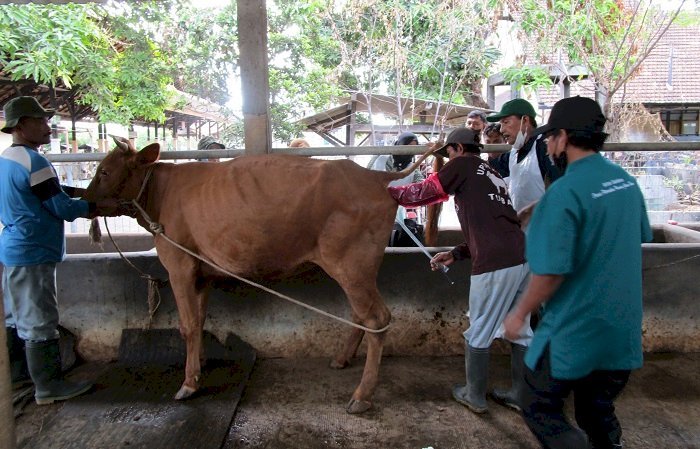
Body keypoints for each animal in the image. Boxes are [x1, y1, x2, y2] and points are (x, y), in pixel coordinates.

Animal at [85, 136, 434, 412]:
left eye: (104, 171)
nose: (82, 200)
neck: (161, 192)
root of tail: (375, 177)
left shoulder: (179, 264)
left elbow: (187, 325)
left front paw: (188, 384)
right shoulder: (201, 272)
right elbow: (200, 320)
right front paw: (199, 365)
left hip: (351, 264)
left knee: (377, 318)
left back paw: (361, 395)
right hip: (356, 269)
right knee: (361, 314)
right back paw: (341, 358)